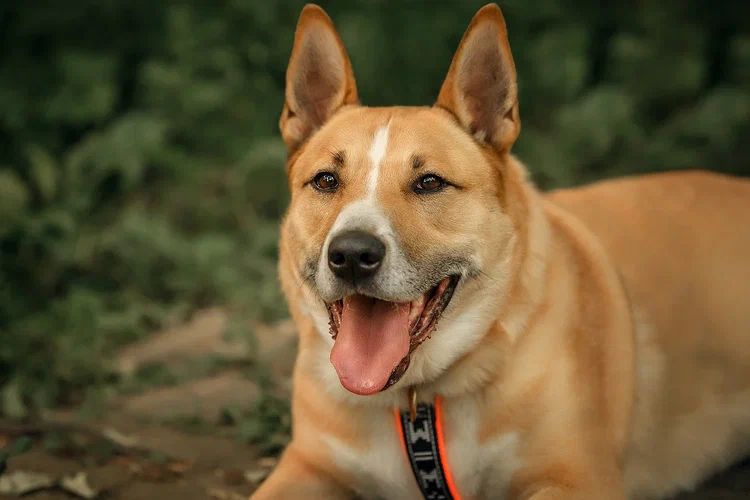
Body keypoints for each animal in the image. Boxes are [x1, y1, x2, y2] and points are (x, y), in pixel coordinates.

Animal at [253, 3, 750, 499]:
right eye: (326, 180)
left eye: (429, 182)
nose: (353, 254)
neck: (417, 397)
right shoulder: (308, 463)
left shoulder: (579, 477)